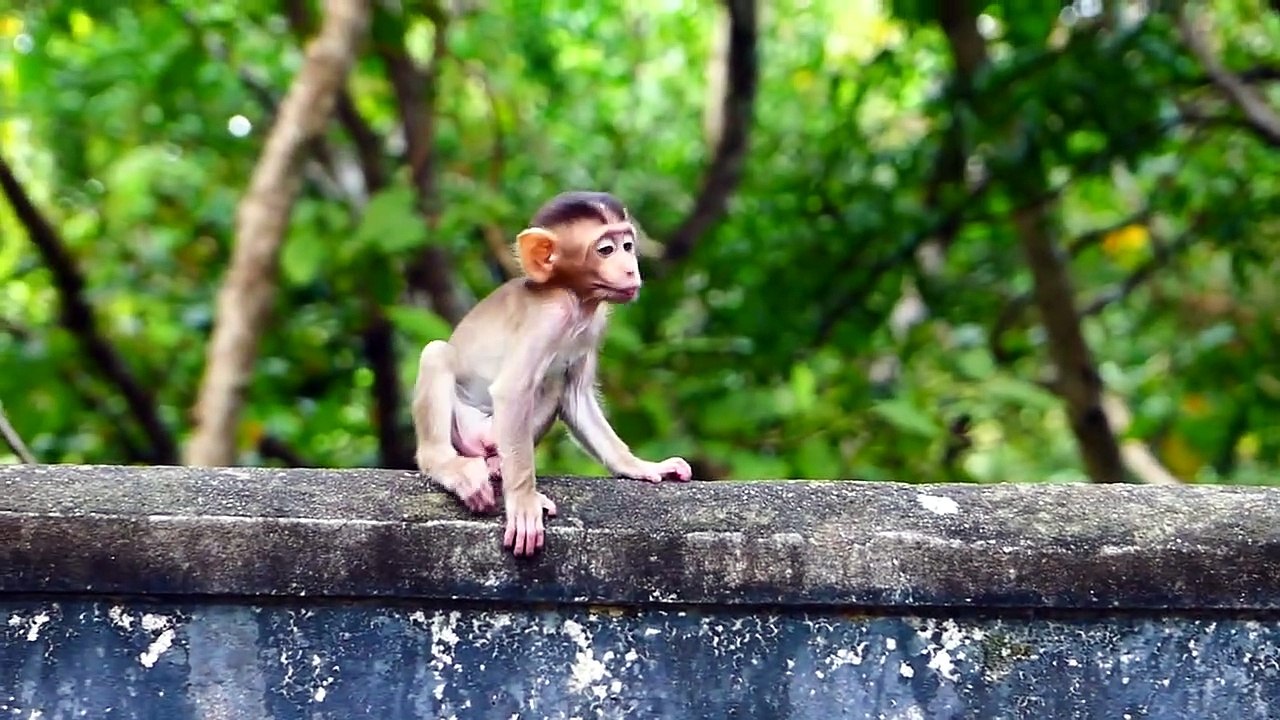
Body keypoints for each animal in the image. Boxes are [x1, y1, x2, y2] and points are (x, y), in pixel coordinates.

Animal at [411, 191, 692, 557]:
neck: (573, 297)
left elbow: (576, 398)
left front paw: (639, 466)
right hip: (465, 428)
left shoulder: (594, 324)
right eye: (606, 250)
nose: (631, 269)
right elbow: (513, 391)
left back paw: (496, 465)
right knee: (438, 354)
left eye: (628, 245)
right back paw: (449, 466)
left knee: (553, 383)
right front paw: (523, 501)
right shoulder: (548, 318)